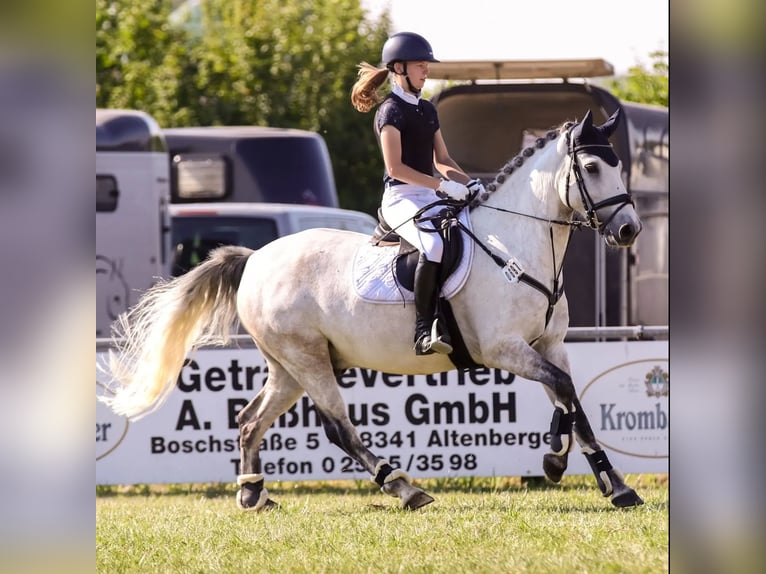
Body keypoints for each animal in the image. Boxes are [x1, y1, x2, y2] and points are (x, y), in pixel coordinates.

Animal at [100, 109, 640, 512]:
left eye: (619, 166)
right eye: (593, 169)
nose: (629, 230)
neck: (516, 243)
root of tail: (255, 259)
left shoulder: (548, 344)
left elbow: (569, 398)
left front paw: (602, 478)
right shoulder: (502, 348)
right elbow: (564, 391)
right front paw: (566, 465)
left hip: (288, 364)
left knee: (251, 420)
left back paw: (254, 494)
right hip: (307, 358)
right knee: (337, 426)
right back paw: (404, 487)